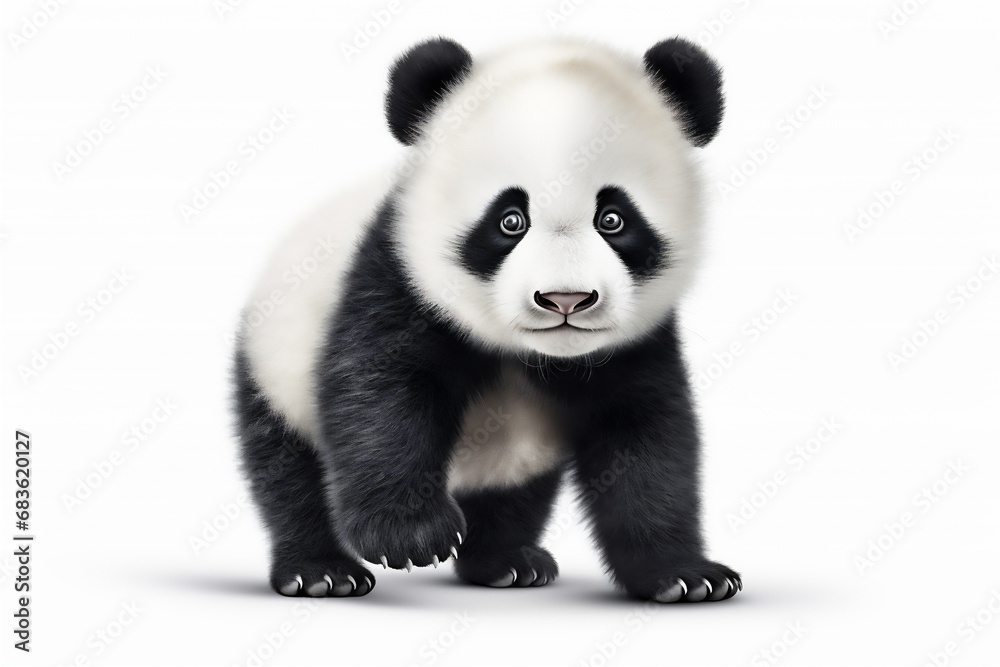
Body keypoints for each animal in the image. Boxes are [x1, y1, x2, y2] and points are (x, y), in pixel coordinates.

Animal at [234, 35, 741, 603]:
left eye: (613, 219)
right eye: (510, 220)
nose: (566, 300)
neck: (535, 355)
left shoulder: (635, 342)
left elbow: (645, 435)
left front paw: (684, 574)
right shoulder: (398, 275)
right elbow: (378, 392)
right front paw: (410, 536)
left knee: (515, 491)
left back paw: (506, 562)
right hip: (275, 362)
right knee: (288, 470)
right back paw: (321, 571)